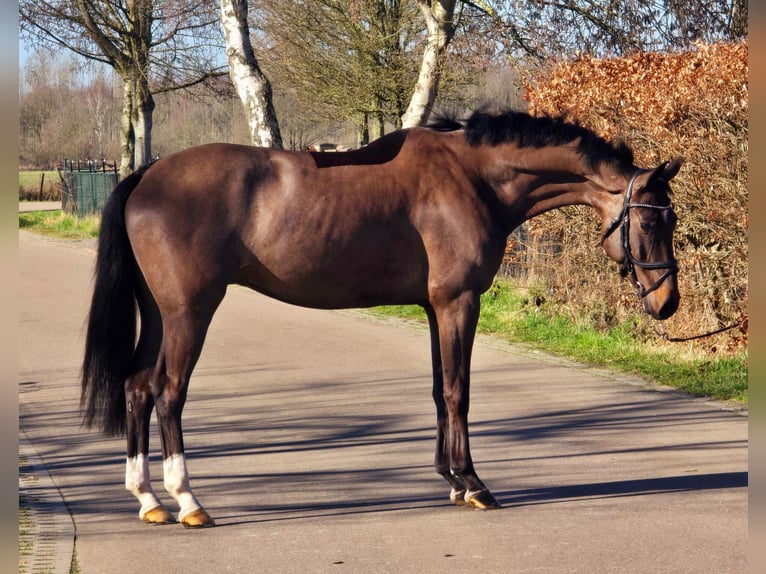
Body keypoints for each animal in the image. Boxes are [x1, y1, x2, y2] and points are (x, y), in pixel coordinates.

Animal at [81, 109, 683, 528]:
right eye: (651, 222)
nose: (667, 303)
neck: (474, 177)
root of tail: (147, 175)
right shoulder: (458, 302)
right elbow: (459, 391)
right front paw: (474, 483)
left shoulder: (435, 307)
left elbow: (440, 390)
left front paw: (451, 479)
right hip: (190, 313)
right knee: (168, 392)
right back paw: (187, 500)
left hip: (159, 314)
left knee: (137, 387)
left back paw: (148, 498)